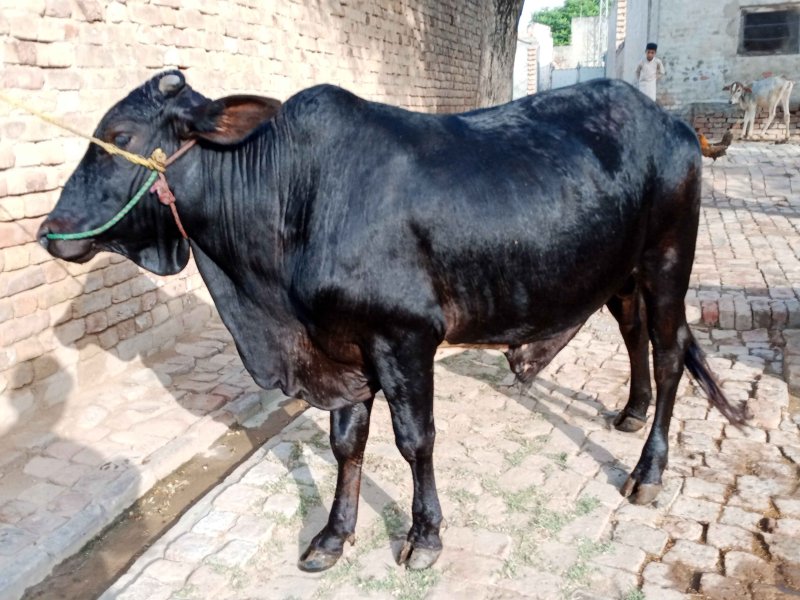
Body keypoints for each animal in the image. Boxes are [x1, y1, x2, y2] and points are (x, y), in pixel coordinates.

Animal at [38, 71, 745, 572]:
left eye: (121, 137)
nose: (50, 231)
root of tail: (674, 121)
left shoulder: (404, 339)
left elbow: (415, 440)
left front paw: (424, 535)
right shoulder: (343, 346)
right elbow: (346, 443)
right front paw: (331, 536)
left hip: (668, 262)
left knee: (670, 354)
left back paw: (647, 472)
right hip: (622, 273)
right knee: (634, 335)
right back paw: (630, 412)